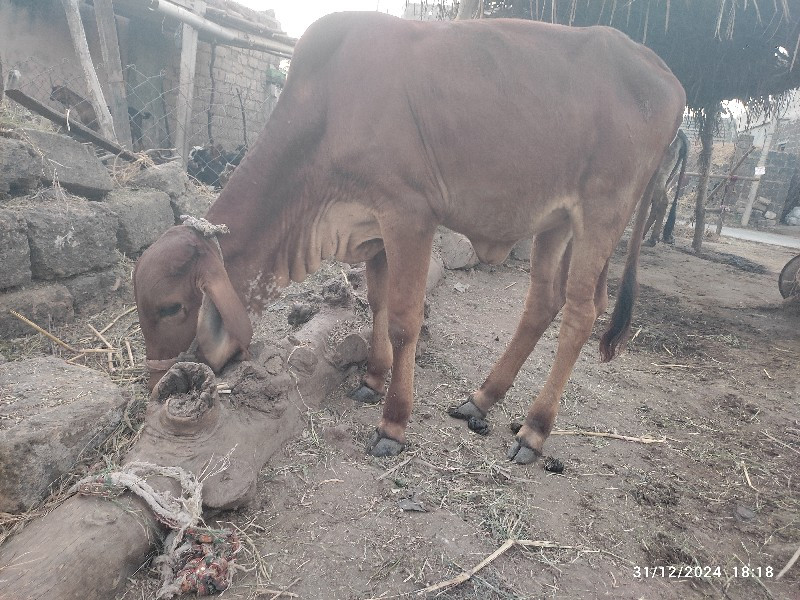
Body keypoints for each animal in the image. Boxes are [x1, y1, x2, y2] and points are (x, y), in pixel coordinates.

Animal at [134, 12, 684, 464]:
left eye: (171, 307)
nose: (157, 386)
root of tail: (665, 75)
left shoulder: (409, 215)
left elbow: (403, 321)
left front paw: (393, 423)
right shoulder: (373, 226)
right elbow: (377, 303)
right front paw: (372, 380)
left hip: (601, 214)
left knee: (579, 315)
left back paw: (534, 430)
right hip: (556, 222)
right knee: (542, 304)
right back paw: (480, 399)